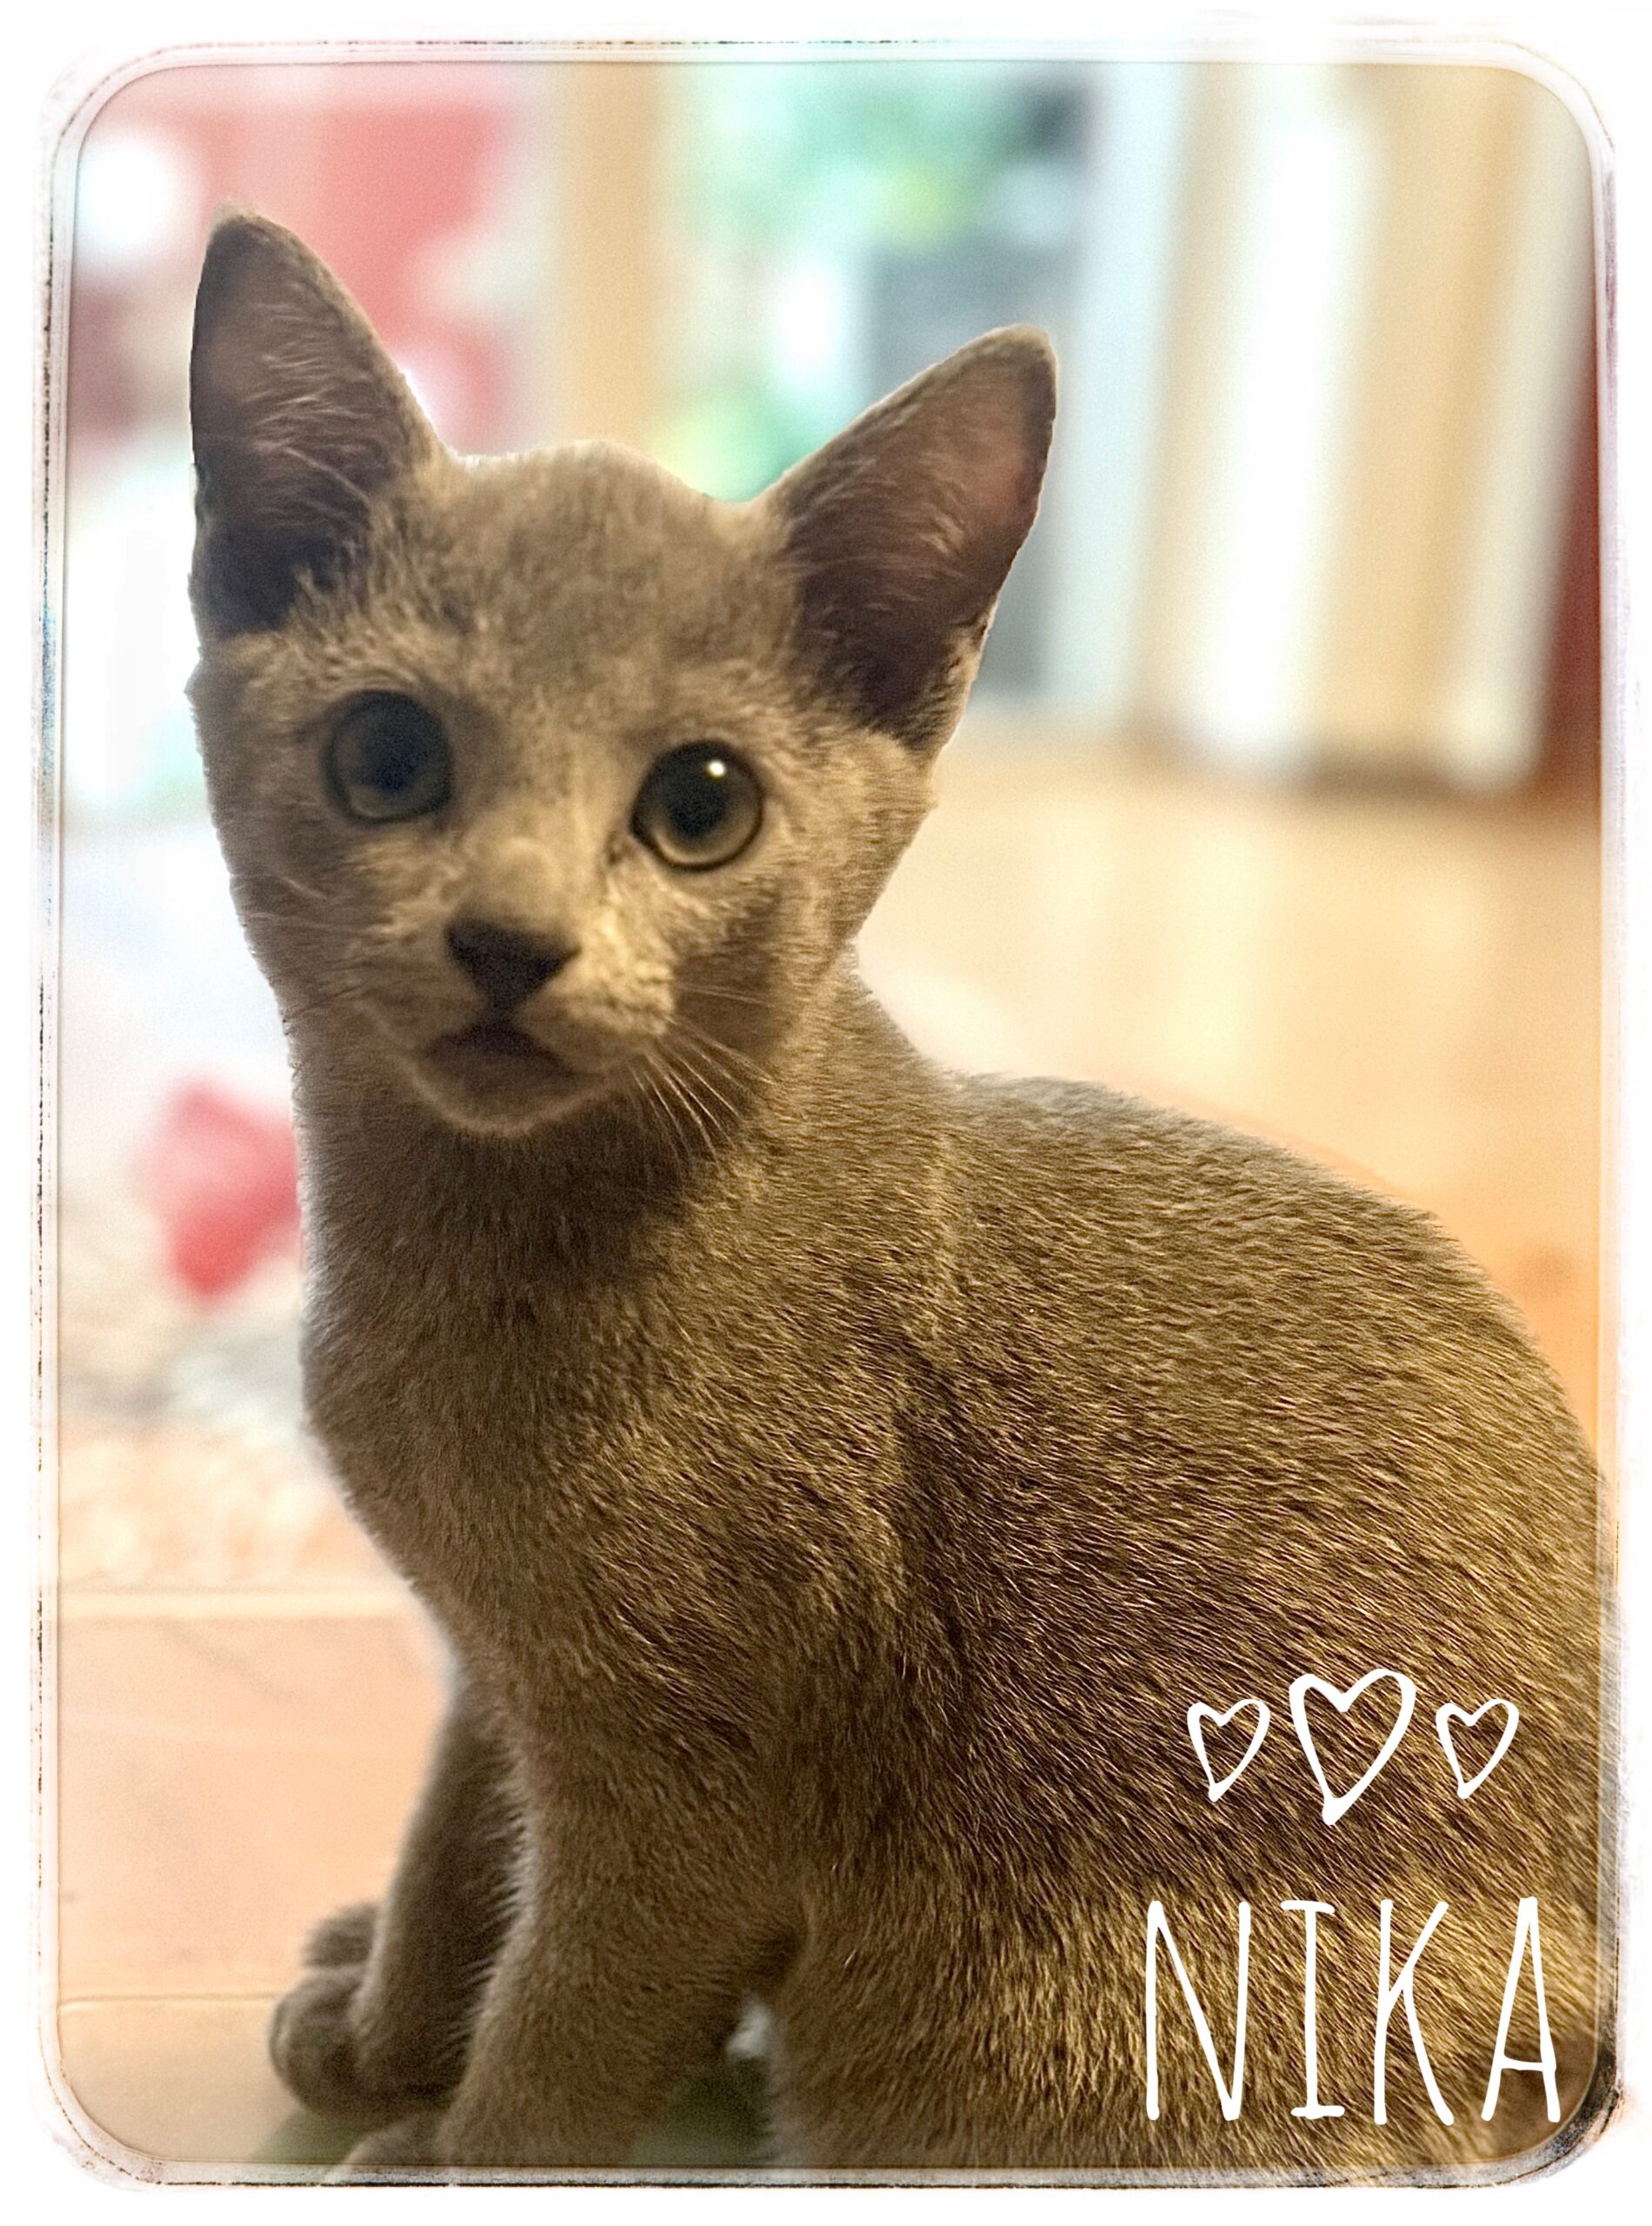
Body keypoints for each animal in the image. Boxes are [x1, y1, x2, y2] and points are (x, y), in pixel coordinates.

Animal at [186, 209, 1611, 2179]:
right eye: (386, 757)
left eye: (701, 803)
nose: (510, 939)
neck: (471, 1258)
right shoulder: (498, 1665)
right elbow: (454, 1835)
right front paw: (393, 2019)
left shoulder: (692, 1788)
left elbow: (570, 2018)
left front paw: (458, 2144)